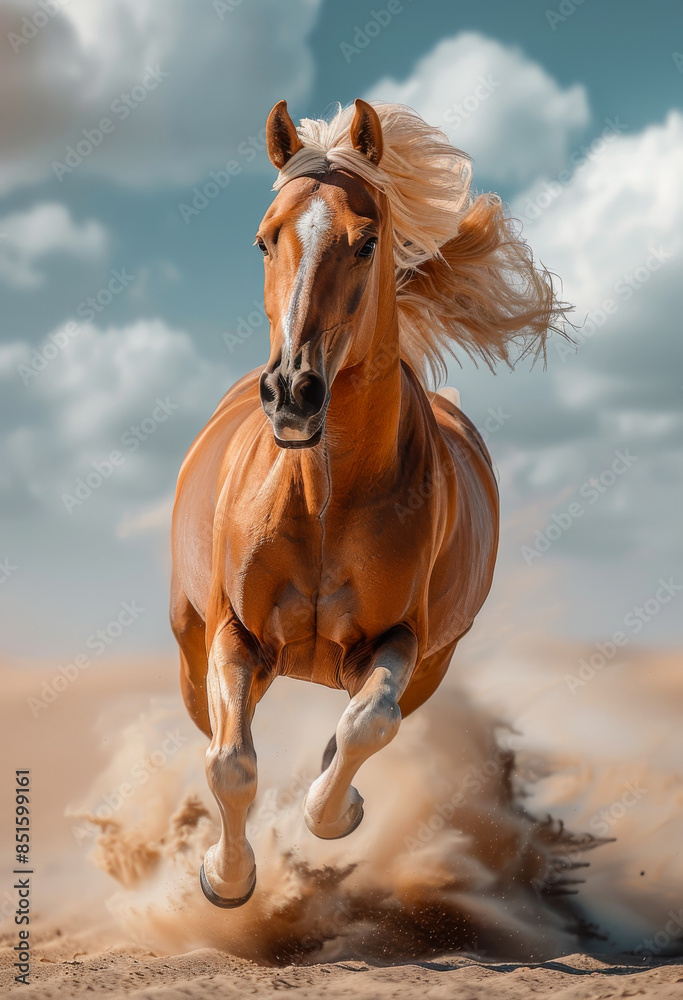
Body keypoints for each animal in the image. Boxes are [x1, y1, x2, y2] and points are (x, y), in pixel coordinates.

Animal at [170, 98, 566, 908]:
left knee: (361, 722)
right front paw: (226, 878)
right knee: (214, 732)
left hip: (435, 660)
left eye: (367, 240)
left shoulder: (400, 641)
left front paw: (332, 814)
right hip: (189, 639)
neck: (324, 499)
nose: (291, 392)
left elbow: (364, 728)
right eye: (264, 238)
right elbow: (230, 762)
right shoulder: (234, 634)